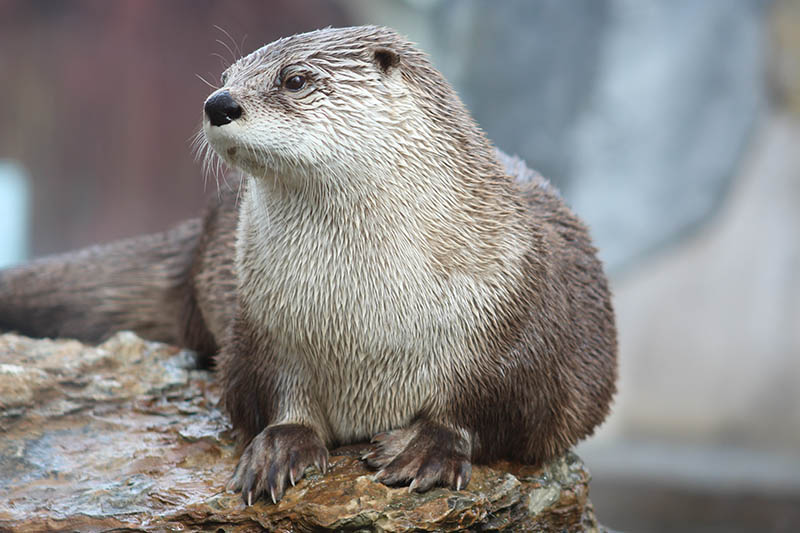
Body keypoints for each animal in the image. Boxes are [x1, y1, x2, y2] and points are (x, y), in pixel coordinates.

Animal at [0, 26, 616, 505]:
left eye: (294, 79)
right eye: (226, 72)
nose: (218, 102)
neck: (363, 318)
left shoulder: (520, 316)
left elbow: (495, 407)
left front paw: (426, 447)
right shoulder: (261, 329)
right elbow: (265, 396)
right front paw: (281, 446)